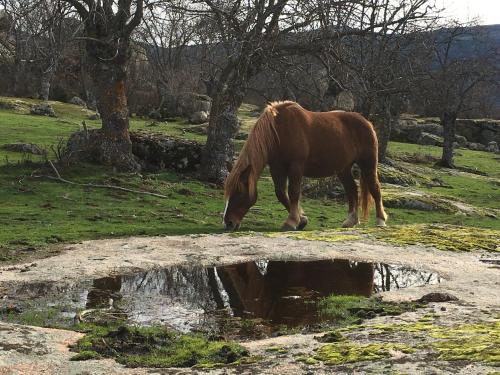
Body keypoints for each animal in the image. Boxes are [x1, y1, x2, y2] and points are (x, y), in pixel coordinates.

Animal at [222, 102, 386, 232]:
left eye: (239, 192)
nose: (228, 223)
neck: (279, 131)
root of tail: (367, 122)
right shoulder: (277, 168)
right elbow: (281, 193)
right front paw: (301, 220)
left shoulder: (296, 166)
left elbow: (294, 192)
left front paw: (292, 222)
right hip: (343, 169)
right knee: (352, 190)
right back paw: (351, 221)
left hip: (368, 164)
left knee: (375, 188)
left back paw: (380, 221)